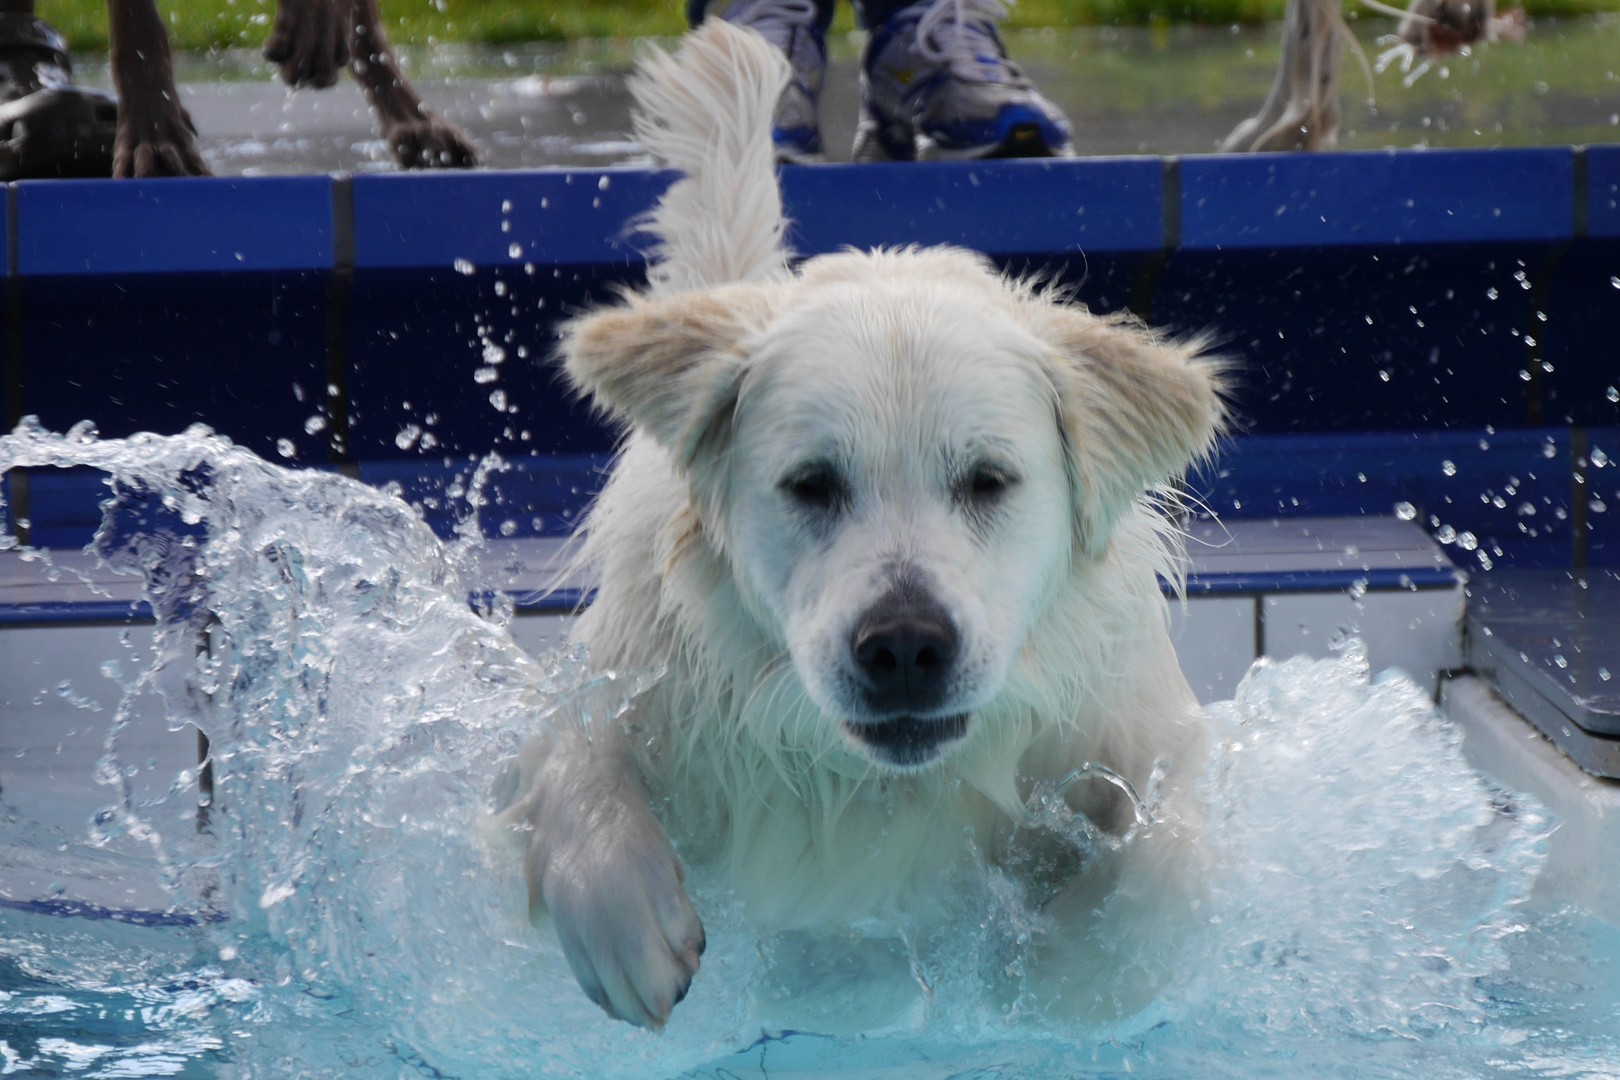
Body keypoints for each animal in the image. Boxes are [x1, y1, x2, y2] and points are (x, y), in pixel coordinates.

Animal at [492, 23, 1224, 1029]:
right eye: (811, 484)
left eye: (988, 480)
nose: (906, 646)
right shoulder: (643, 667)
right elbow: (567, 745)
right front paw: (626, 920)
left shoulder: (1130, 718)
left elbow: (1174, 851)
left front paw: (1066, 975)